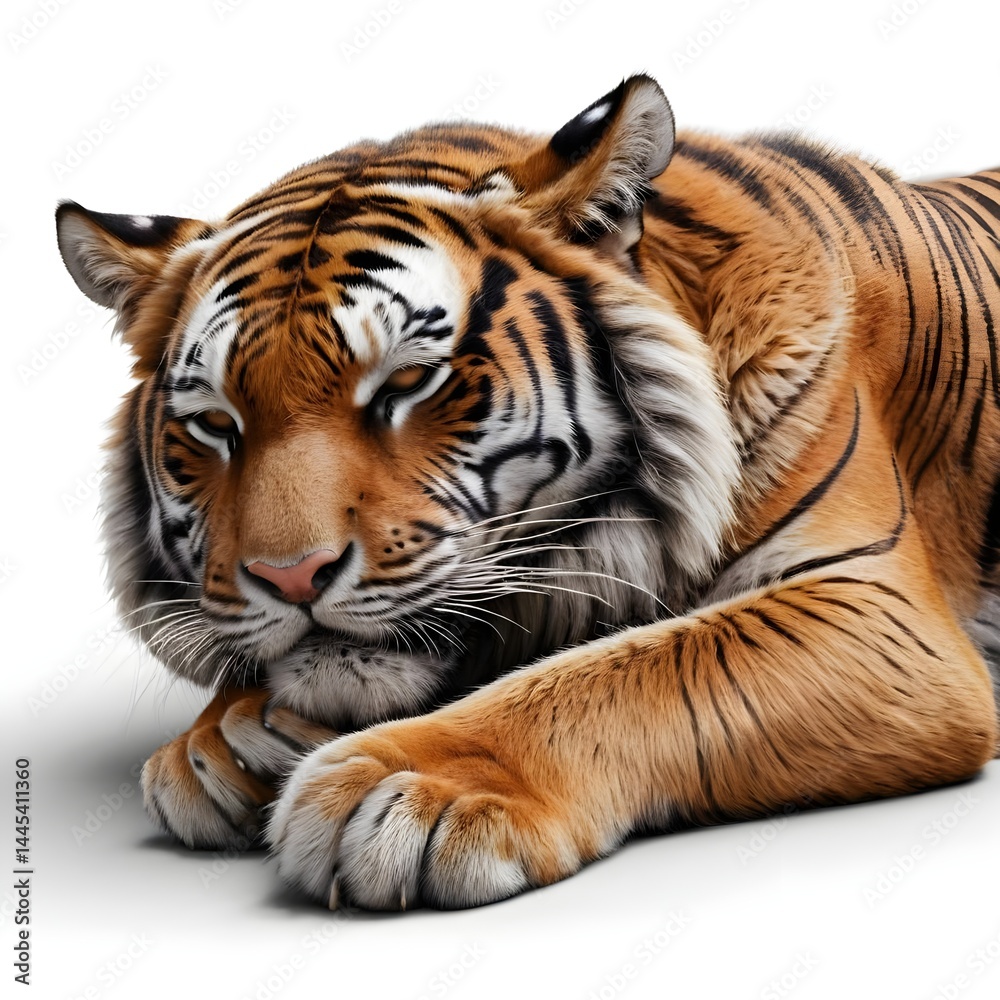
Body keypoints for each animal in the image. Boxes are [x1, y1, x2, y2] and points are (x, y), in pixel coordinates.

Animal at [55, 73, 1000, 911]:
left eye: (408, 383)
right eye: (215, 424)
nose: (292, 577)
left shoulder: (874, 607)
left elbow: (636, 670)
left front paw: (410, 785)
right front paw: (226, 738)